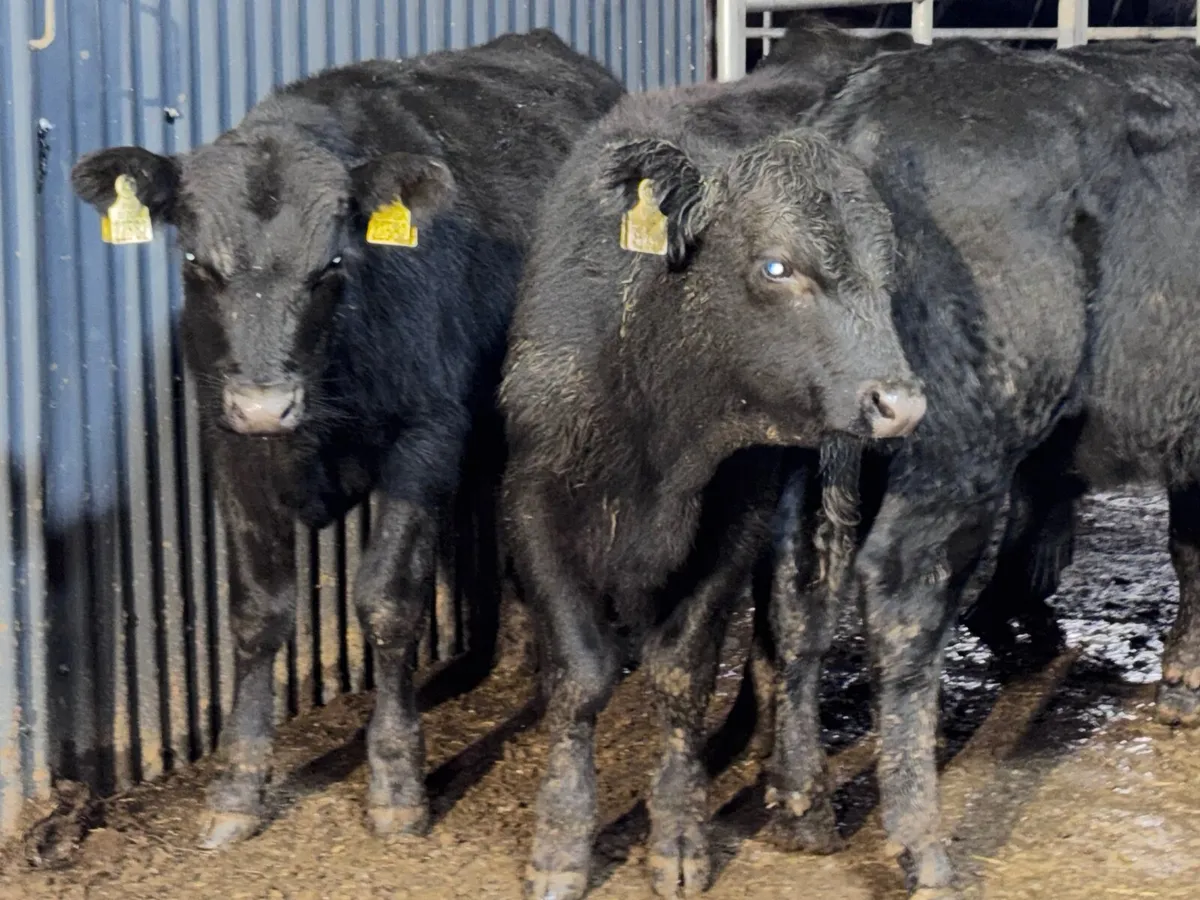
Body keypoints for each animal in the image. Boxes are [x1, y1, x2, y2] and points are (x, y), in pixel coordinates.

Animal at [70, 30, 623, 850]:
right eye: (198, 264)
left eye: (332, 263)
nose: (266, 404)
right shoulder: (228, 440)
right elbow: (257, 613)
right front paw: (236, 787)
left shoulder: (427, 435)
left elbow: (388, 603)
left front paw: (396, 784)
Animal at [499, 60, 925, 899]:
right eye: (776, 266)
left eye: (889, 269)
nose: (899, 403)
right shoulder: (532, 501)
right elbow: (580, 673)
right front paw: (560, 844)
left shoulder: (738, 514)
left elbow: (682, 669)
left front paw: (679, 835)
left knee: (797, 634)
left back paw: (800, 793)